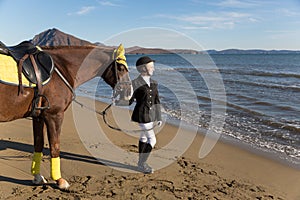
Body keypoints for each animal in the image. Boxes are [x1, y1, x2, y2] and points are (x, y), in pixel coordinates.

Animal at [0, 43, 132, 189]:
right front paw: (59, 180)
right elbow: (55, 146)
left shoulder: (39, 116)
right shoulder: (54, 115)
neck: (61, 67)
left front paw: (38, 177)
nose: (129, 93)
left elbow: (38, 144)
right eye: (121, 68)